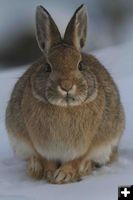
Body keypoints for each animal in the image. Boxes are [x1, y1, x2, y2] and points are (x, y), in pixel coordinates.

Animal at [5, 3, 124, 184]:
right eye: (47, 67)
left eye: (80, 65)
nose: (66, 86)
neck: (65, 107)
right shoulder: (38, 145)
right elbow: (45, 159)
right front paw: (48, 174)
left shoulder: (87, 145)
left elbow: (77, 159)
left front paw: (63, 175)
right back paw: (34, 167)